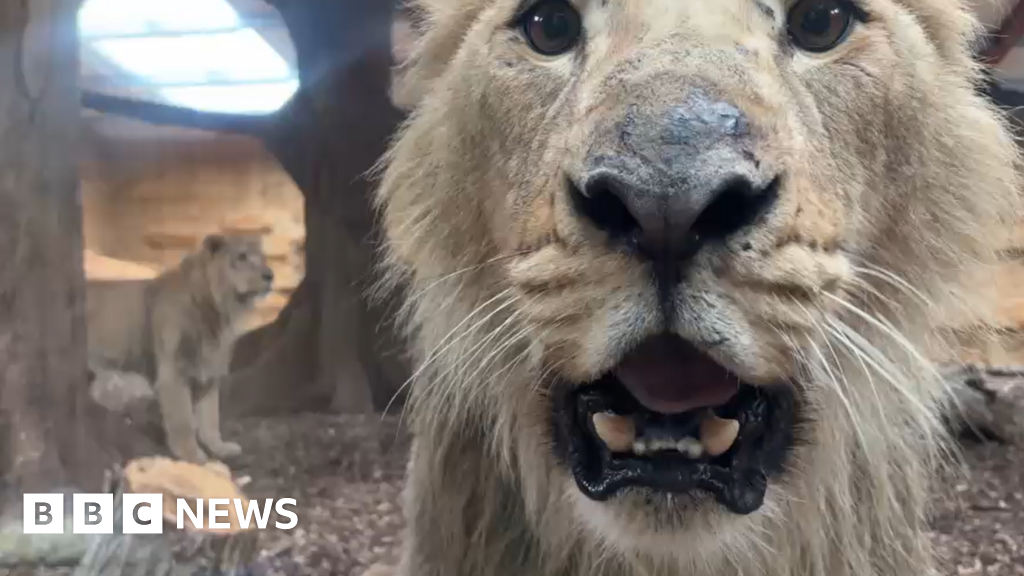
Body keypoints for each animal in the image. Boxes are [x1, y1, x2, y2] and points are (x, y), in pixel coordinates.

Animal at [86, 234, 274, 464]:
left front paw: (220, 448)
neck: (219, 314)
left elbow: (210, 417)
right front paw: (192, 456)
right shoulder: (173, 374)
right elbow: (183, 421)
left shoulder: (208, 373)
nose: (270, 275)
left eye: (263, 257)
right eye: (242, 257)